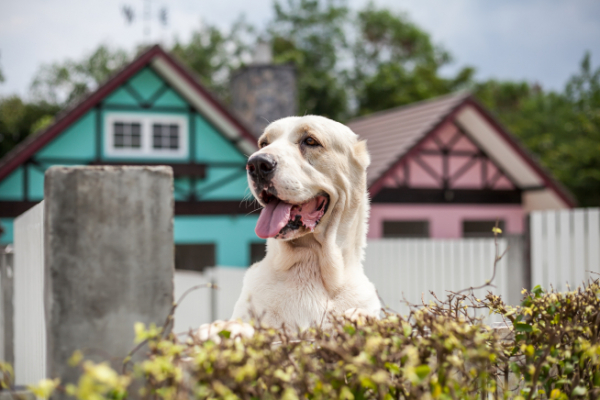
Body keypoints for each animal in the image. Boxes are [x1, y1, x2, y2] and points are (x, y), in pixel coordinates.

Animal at [200, 116, 380, 338]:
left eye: (310, 141)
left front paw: (360, 318)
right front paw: (224, 328)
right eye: (264, 143)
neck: (310, 262)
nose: (257, 163)